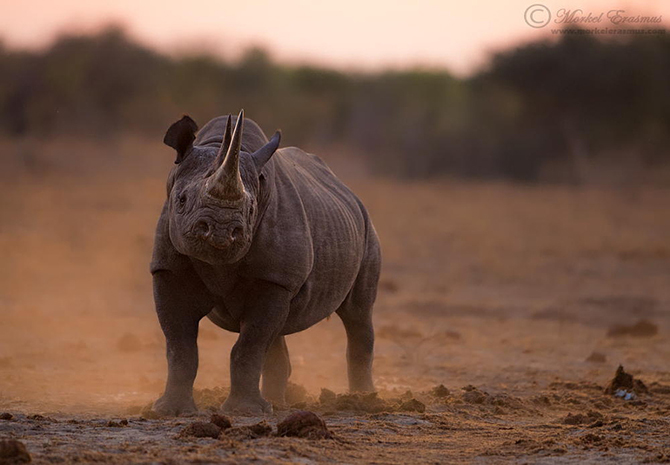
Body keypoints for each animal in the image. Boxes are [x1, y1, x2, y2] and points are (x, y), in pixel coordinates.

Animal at [153, 111, 384, 414]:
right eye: (181, 200)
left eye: (251, 210)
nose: (220, 230)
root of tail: (348, 191)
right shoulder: (168, 269)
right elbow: (180, 345)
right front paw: (170, 410)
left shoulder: (275, 278)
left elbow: (249, 345)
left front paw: (244, 411)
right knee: (277, 331)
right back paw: (277, 402)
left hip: (367, 229)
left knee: (357, 314)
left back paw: (364, 400)